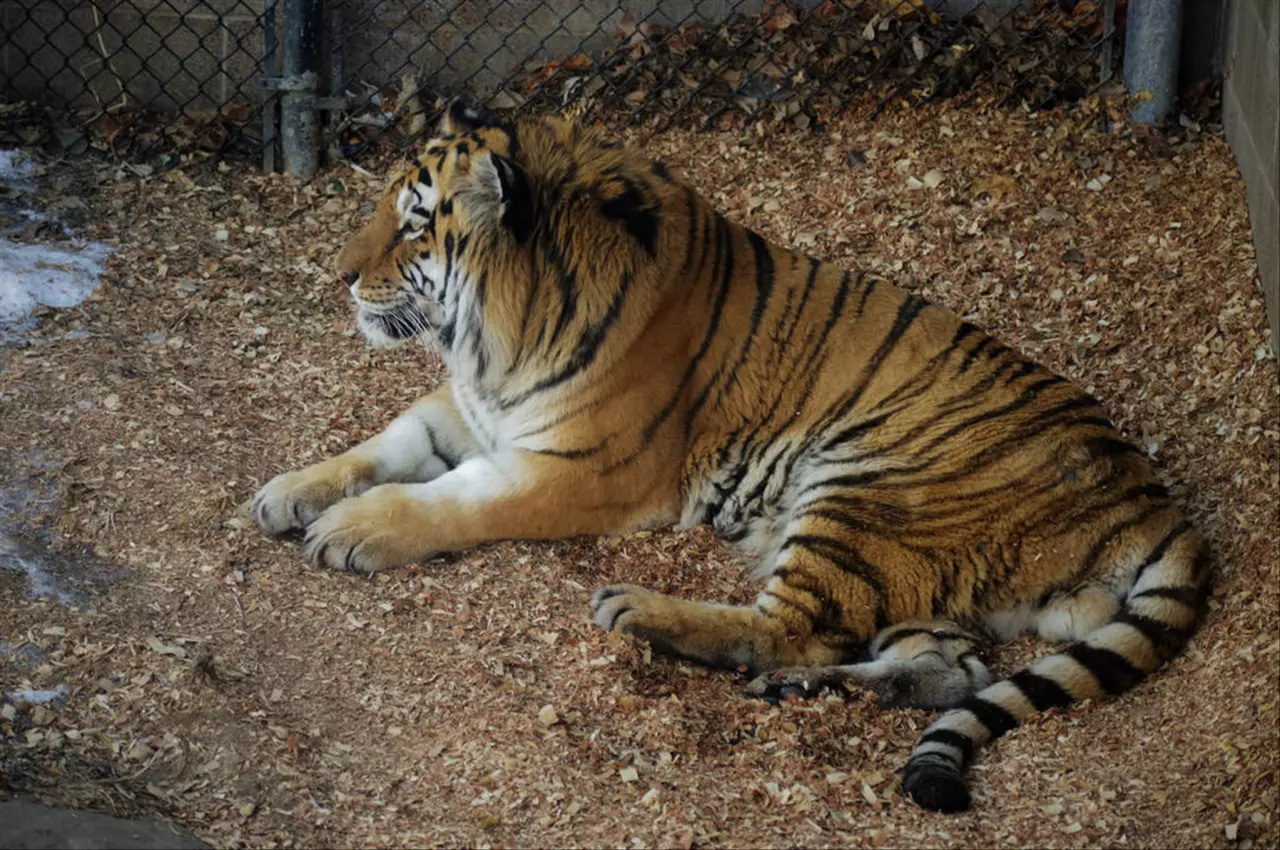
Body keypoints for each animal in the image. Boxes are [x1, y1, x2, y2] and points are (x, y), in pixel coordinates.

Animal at [249, 99, 1208, 809]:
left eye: (415, 226)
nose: (338, 275)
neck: (501, 337)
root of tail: (1151, 498)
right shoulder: (474, 409)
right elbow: (386, 443)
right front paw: (287, 492)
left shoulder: (577, 469)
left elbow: (452, 498)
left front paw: (352, 532)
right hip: (924, 574)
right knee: (940, 670)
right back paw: (803, 694)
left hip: (867, 486)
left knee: (784, 626)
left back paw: (638, 610)